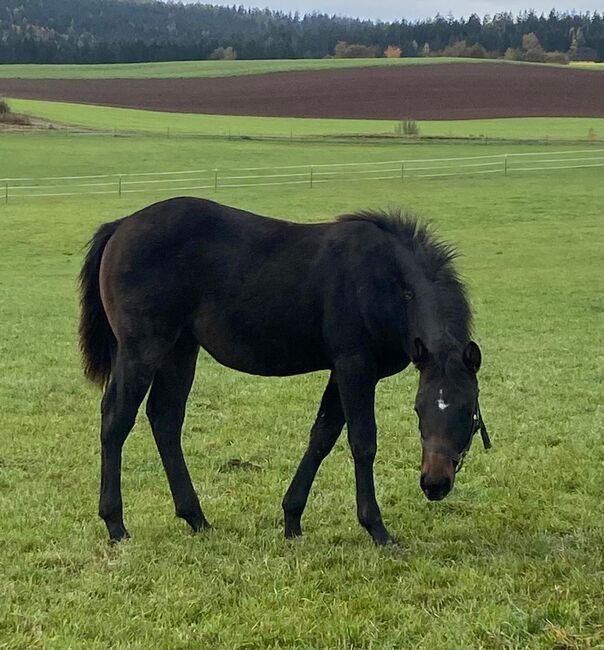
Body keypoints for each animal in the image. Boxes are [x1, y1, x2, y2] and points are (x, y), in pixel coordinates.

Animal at [78, 196, 488, 540]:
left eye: (468, 411)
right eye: (418, 409)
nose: (434, 484)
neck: (386, 282)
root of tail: (121, 225)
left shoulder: (342, 371)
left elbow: (322, 436)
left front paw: (292, 519)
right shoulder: (355, 366)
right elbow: (362, 442)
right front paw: (377, 529)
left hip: (180, 350)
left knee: (165, 418)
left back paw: (196, 517)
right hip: (141, 349)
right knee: (116, 418)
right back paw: (116, 524)